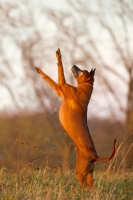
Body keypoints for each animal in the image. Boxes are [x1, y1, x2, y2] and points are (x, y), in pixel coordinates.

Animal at [34, 48, 116, 189]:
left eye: (82, 70)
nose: (74, 65)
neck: (85, 86)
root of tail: (95, 156)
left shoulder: (61, 85)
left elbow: (58, 71)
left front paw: (58, 55)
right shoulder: (59, 90)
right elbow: (49, 78)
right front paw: (40, 70)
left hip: (80, 173)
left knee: (85, 186)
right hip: (88, 173)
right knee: (92, 188)